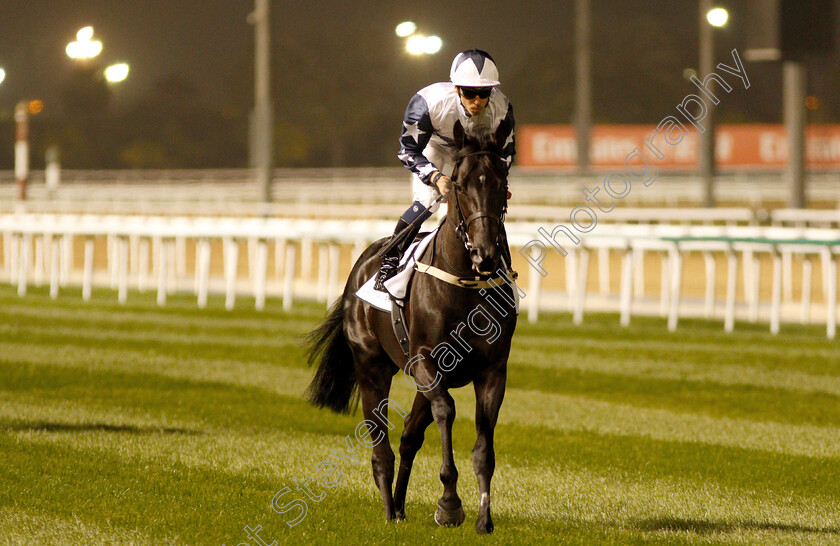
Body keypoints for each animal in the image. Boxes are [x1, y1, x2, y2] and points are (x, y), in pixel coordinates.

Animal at [306, 120, 520, 532]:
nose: (485, 254)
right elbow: (446, 412)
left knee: (407, 438)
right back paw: (390, 509)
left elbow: (483, 444)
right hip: (372, 367)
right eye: (459, 184)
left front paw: (484, 518)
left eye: (501, 184)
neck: (464, 283)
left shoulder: (492, 370)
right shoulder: (424, 359)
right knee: (382, 446)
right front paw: (450, 504)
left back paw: (402, 507)